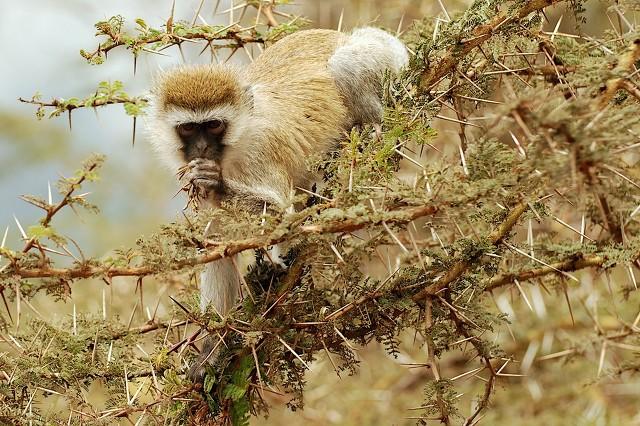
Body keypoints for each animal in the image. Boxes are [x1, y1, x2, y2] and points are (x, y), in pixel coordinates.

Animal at [146, 26, 404, 372]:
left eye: (213, 125)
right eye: (188, 129)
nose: (201, 149)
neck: (236, 144)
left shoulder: (261, 151)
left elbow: (282, 214)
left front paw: (216, 183)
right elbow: (218, 247)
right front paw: (213, 347)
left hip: (383, 54)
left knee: (345, 66)